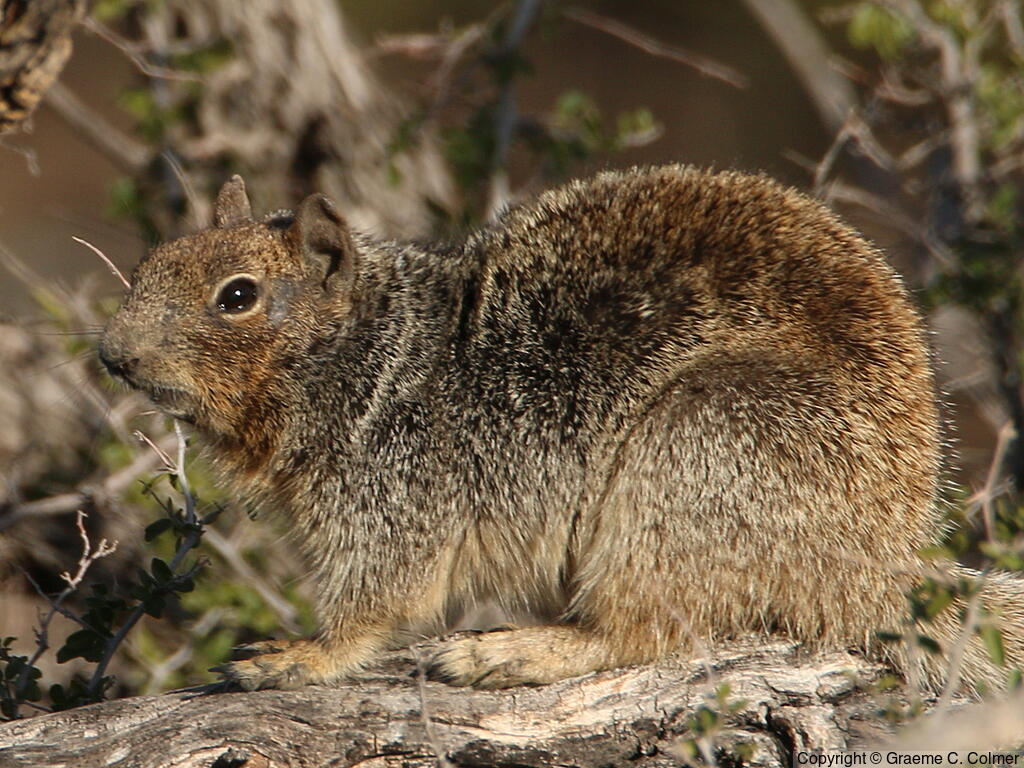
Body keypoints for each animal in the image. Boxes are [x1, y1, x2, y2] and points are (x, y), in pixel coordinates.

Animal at [100, 165, 1024, 692]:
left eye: (238, 295)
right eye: (146, 264)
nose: (111, 354)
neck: (378, 350)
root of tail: (879, 571)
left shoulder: (393, 492)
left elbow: (376, 603)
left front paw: (297, 656)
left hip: (696, 453)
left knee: (647, 633)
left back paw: (509, 653)